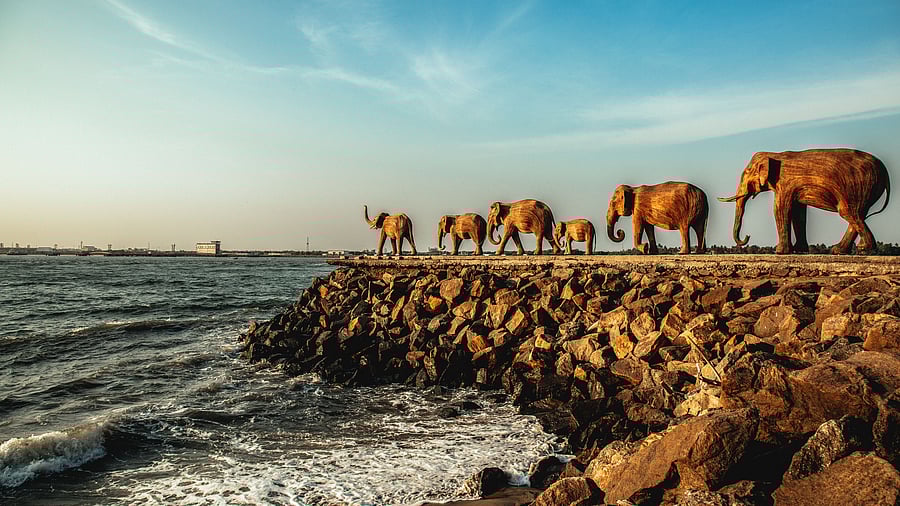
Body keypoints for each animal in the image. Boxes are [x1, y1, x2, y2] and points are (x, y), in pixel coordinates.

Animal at [718, 149, 890, 255]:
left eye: (747, 174)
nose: (748, 236)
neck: (775, 155)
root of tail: (885, 172)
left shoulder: (785, 183)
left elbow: (781, 209)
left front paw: (779, 252)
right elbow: (798, 213)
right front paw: (799, 250)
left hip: (857, 188)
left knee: (848, 212)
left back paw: (862, 249)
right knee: (858, 215)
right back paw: (842, 250)